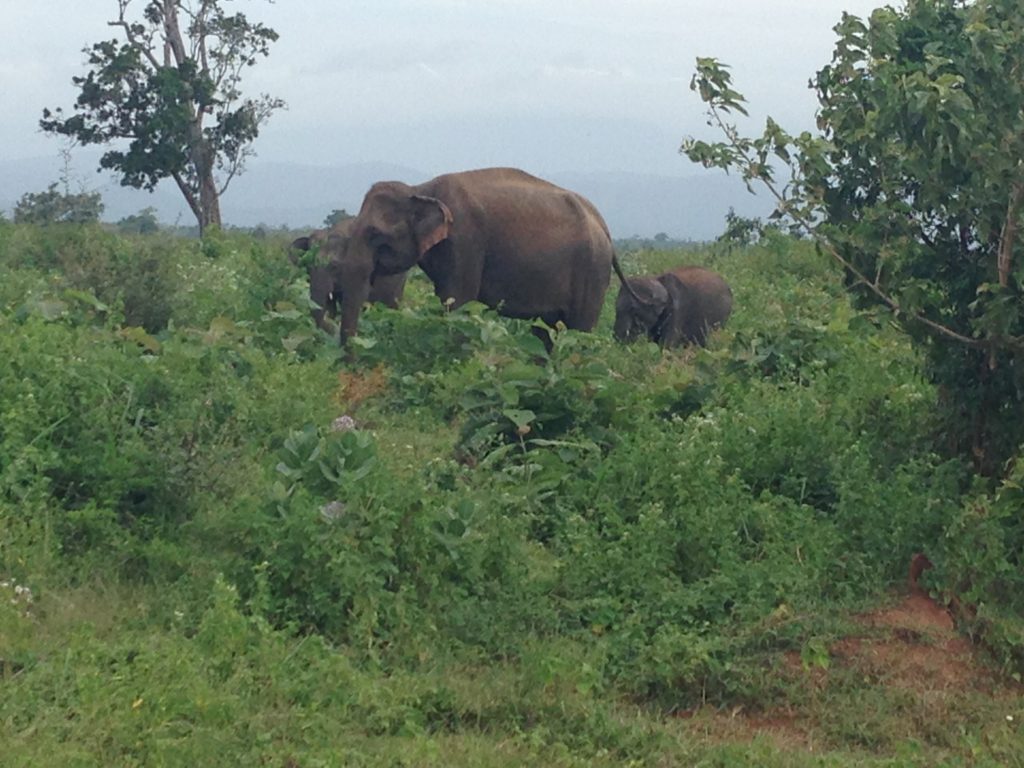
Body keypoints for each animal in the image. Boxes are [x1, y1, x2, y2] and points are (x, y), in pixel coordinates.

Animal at [333, 167, 635, 345]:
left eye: (375, 234)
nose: (351, 361)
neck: (419, 190)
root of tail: (604, 227)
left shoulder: (465, 242)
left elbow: (457, 300)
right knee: (546, 329)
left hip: (592, 270)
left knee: (579, 329)